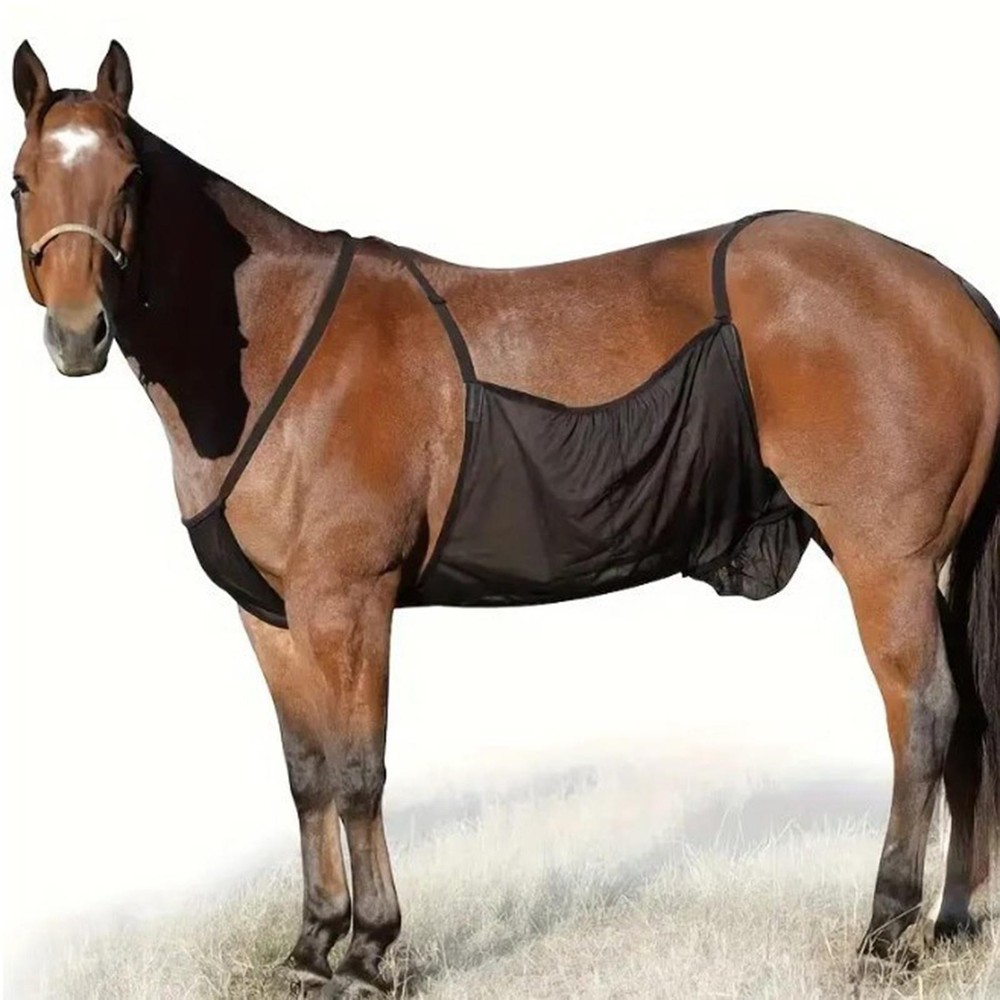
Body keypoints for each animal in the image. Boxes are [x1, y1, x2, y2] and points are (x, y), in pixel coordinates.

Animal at [10, 39, 1000, 996]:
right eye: (21, 181)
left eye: (129, 179)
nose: (77, 334)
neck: (276, 347)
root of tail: (948, 289)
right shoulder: (271, 614)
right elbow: (306, 776)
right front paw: (309, 946)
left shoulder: (348, 602)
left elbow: (358, 774)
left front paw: (367, 955)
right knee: (971, 723)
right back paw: (952, 923)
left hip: (886, 561)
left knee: (924, 715)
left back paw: (885, 936)